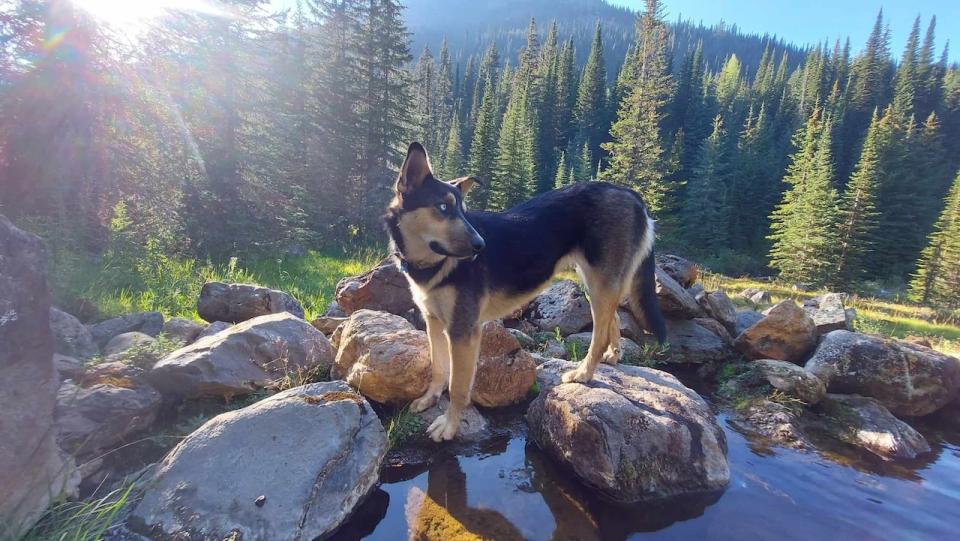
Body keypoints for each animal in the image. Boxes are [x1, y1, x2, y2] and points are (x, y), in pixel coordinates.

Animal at [386, 141, 664, 440]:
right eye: (442, 207)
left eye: (462, 210)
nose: (481, 245)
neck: (432, 264)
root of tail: (630, 193)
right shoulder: (434, 322)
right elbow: (438, 369)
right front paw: (429, 398)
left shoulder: (463, 332)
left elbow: (458, 387)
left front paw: (449, 426)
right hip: (595, 283)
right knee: (612, 318)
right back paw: (612, 355)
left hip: (600, 283)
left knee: (599, 334)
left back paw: (584, 373)